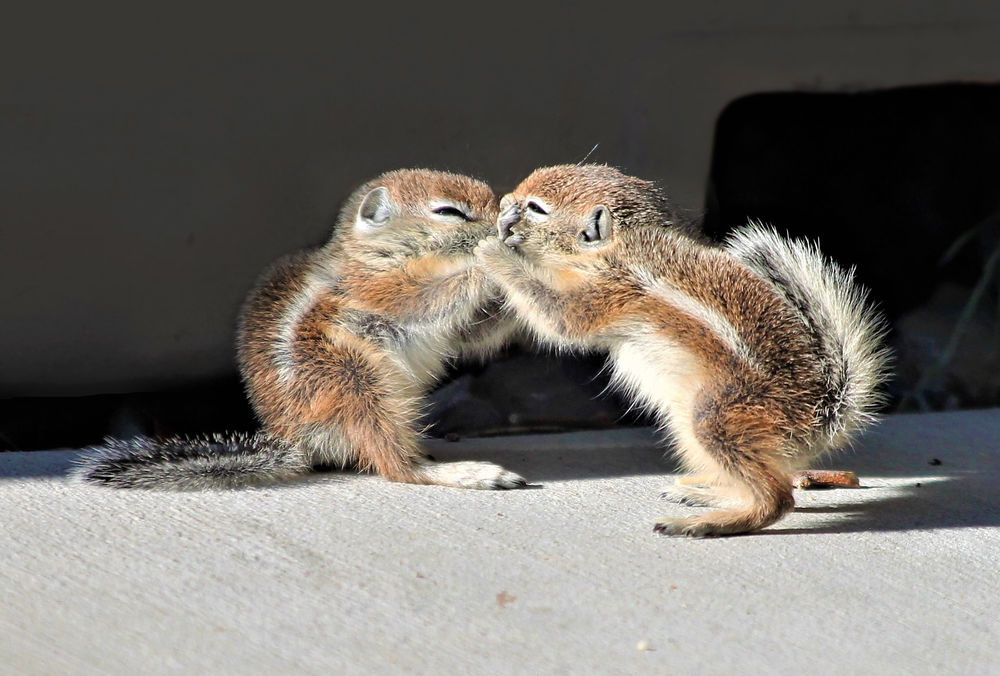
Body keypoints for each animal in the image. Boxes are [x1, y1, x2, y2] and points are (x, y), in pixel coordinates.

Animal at [74, 169, 528, 492]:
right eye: (450, 212)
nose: (502, 220)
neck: (375, 253)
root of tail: (297, 440)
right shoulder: (373, 287)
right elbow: (427, 297)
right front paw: (493, 256)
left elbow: (471, 332)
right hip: (353, 376)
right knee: (394, 464)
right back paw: (466, 472)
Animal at [476, 165, 892, 540]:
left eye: (536, 208)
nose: (505, 202)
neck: (624, 245)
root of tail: (822, 412)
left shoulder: (609, 291)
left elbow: (559, 317)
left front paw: (495, 250)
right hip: (688, 423)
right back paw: (705, 493)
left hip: (715, 415)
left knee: (778, 498)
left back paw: (708, 523)